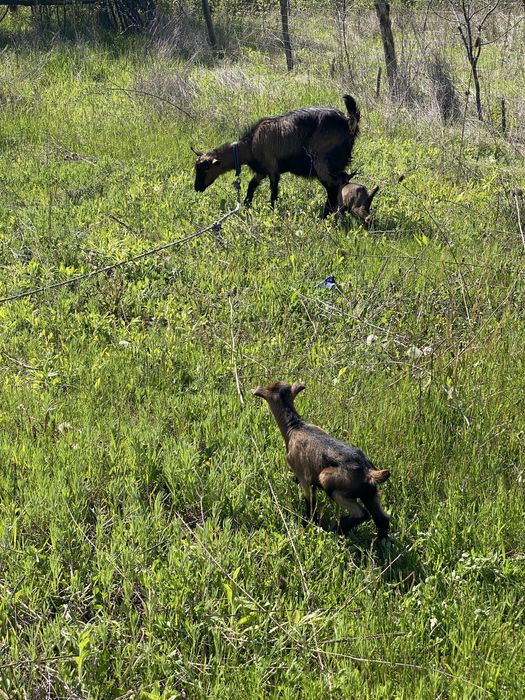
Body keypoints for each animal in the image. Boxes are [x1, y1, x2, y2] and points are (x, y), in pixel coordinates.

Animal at [193, 95, 360, 218]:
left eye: (205, 169)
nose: (196, 188)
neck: (250, 146)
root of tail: (348, 123)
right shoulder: (262, 170)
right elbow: (251, 186)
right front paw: (246, 206)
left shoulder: (273, 169)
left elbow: (273, 192)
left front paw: (272, 211)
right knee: (341, 181)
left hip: (321, 161)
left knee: (332, 186)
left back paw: (325, 215)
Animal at [252, 381, 390, 540]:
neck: (295, 426)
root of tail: (369, 473)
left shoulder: (303, 476)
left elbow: (310, 502)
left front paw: (308, 523)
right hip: (370, 493)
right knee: (382, 518)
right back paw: (380, 541)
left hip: (330, 481)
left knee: (361, 514)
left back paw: (337, 530)